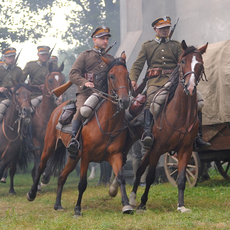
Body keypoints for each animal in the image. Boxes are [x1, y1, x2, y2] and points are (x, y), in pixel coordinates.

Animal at [26, 51, 133, 216]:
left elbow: (121, 178)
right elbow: (82, 183)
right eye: (112, 76)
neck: (108, 123)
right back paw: (32, 193)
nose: (124, 101)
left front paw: (126, 205)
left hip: (73, 157)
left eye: (127, 75)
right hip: (49, 147)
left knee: (62, 176)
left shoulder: (115, 155)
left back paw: (58, 204)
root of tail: (58, 109)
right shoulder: (86, 156)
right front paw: (77, 209)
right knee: (41, 166)